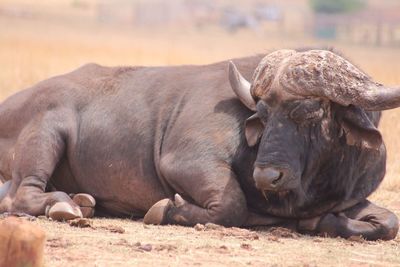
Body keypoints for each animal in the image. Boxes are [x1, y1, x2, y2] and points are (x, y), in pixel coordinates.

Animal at [0, 49, 398, 242]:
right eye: (263, 113)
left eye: (308, 110)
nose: (267, 176)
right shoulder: (184, 162)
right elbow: (231, 205)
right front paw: (166, 209)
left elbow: (388, 222)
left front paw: (323, 222)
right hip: (46, 132)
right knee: (23, 195)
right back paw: (64, 205)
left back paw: (81, 200)